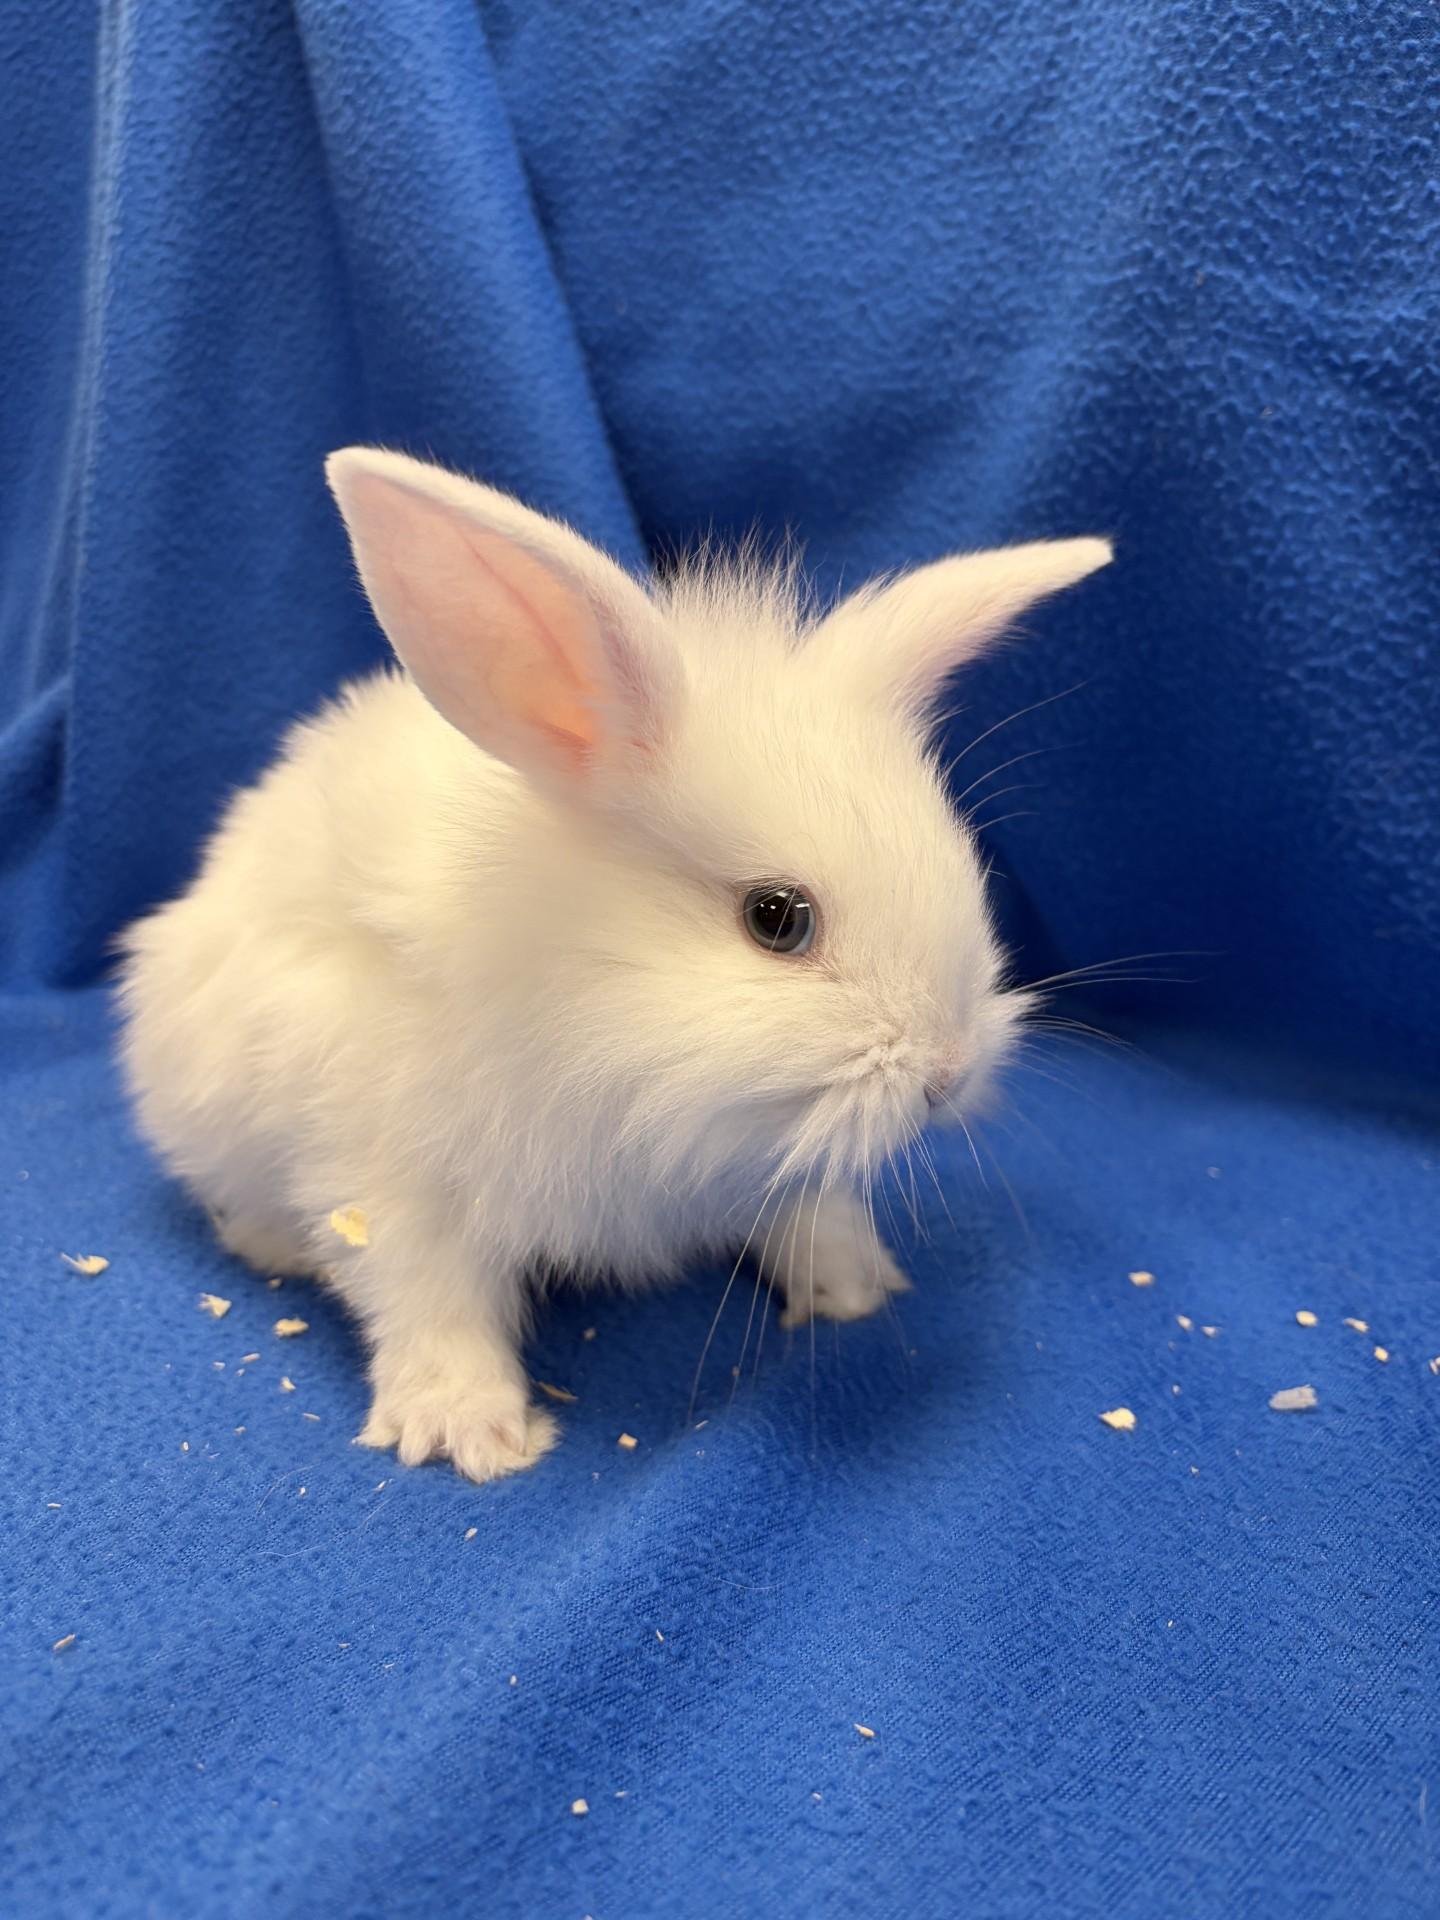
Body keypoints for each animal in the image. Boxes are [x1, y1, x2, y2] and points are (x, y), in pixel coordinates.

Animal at [118, 448, 1110, 1483]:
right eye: (776, 919)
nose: (949, 1074)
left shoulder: (772, 1165)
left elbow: (811, 1214)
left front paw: (855, 1288)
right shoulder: (390, 1181)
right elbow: (430, 1303)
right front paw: (471, 1433)